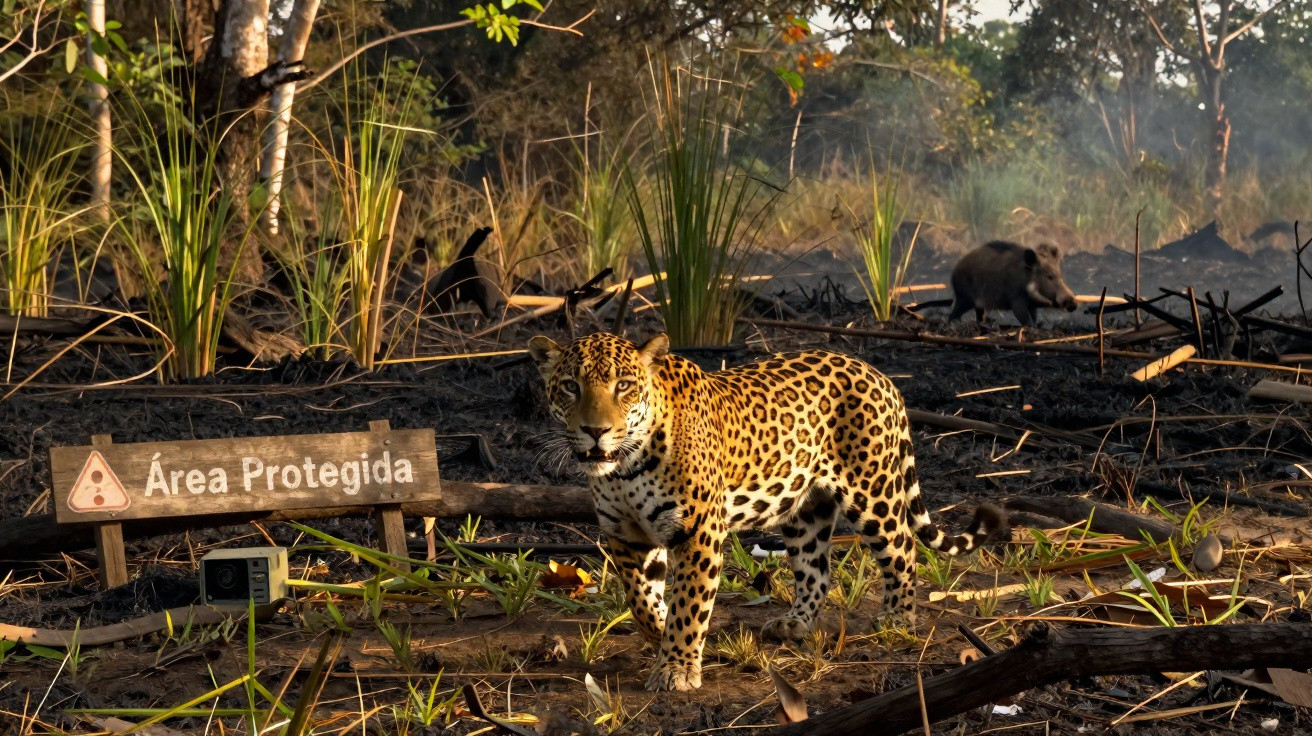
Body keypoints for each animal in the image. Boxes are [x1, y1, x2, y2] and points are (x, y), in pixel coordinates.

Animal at [948, 241, 1078, 326]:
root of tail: (954, 271)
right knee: (952, 315)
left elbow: (1034, 318)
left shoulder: (1032, 305)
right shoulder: (1017, 302)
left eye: (1061, 275)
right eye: (1049, 276)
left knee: (978, 316)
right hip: (964, 299)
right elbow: (1026, 321)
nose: (1073, 303)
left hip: (977, 304)